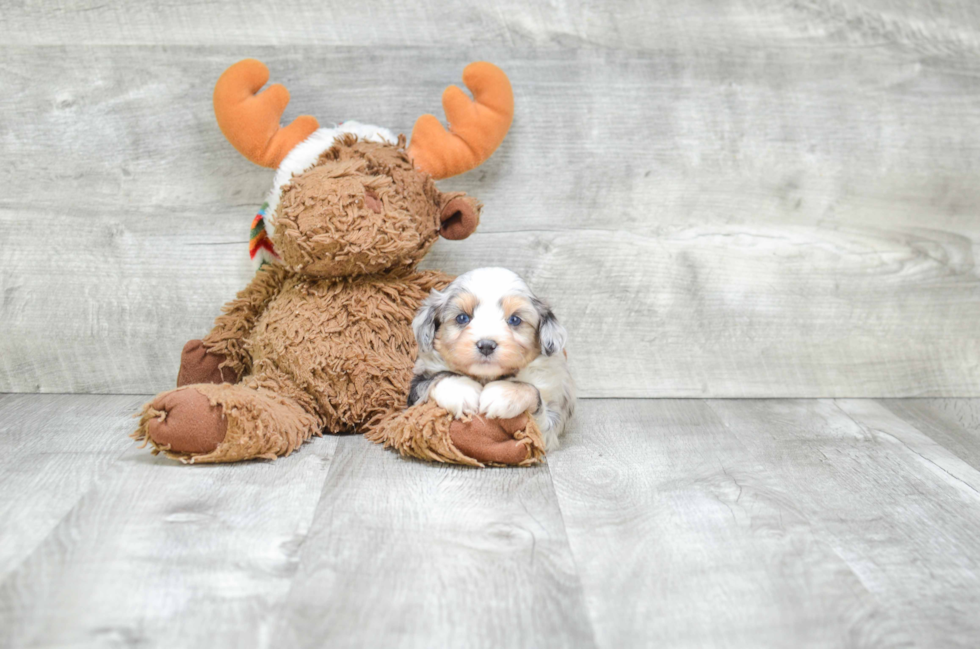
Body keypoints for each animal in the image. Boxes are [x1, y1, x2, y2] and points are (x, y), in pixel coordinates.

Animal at [408, 266, 576, 448]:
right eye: (462, 317)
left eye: (515, 320)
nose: (486, 345)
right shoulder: (416, 386)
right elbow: (437, 377)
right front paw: (460, 390)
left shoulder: (552, 420)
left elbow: (536, 410)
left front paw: (504, 393)